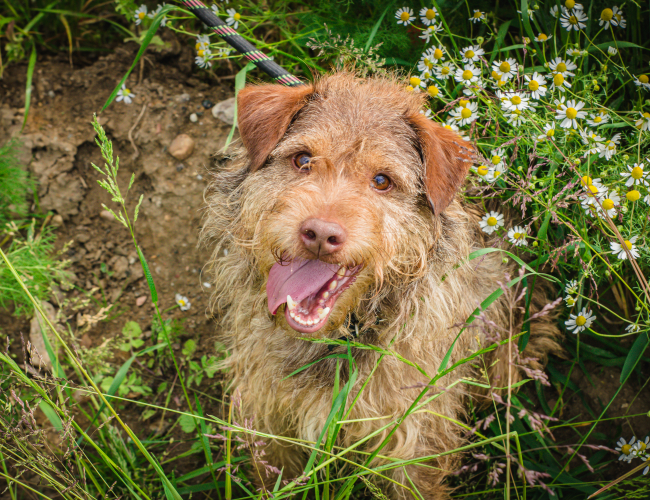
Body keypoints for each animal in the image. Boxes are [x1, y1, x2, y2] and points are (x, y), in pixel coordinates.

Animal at [201, 74, 556, 500]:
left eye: (382, 181)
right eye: (302, 159)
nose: (320, 234)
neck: (339, 338)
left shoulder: (411, 440)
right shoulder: (267, 419)